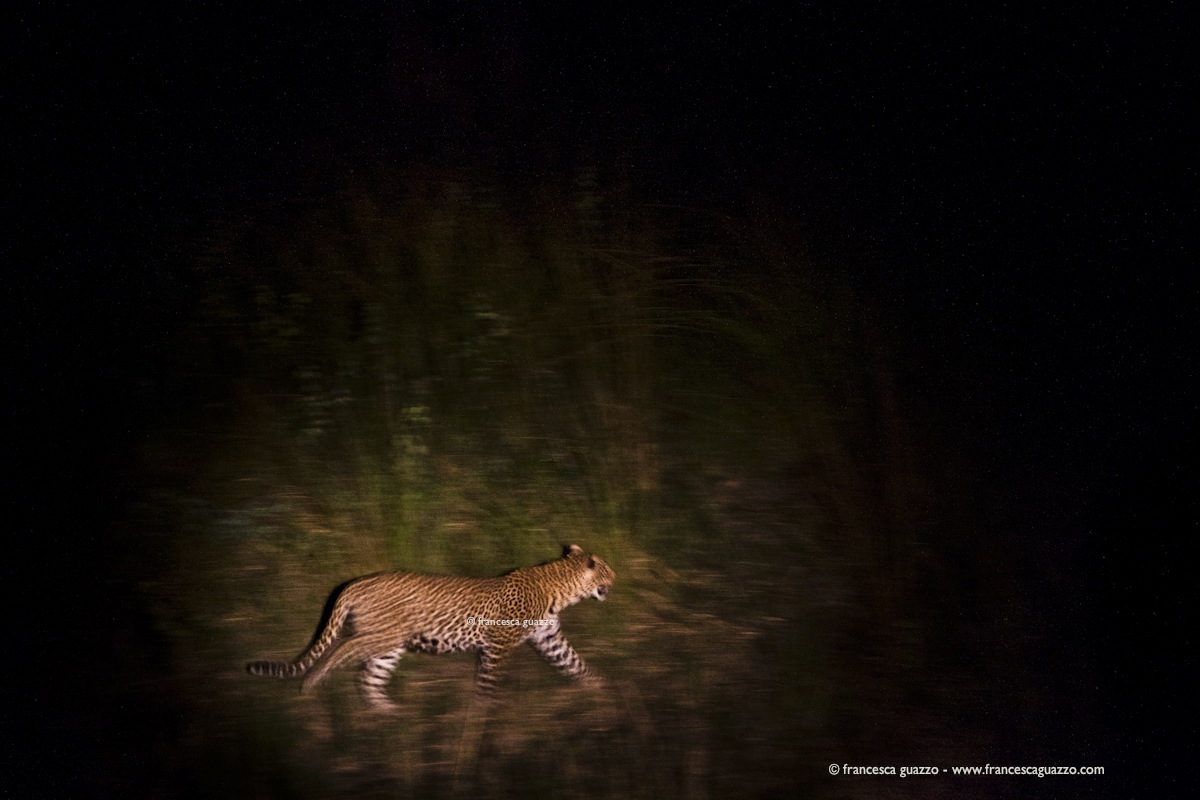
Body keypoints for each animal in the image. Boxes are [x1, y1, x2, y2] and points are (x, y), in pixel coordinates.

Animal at [247, 544, 615, 709]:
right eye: (608, 571)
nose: (616, 579)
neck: (559, 589)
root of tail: (354, 583)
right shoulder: (497, 643)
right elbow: (488, 679)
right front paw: (486, 710)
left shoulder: (549, 638)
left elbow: (575, 663)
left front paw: (602, 691)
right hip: (381, 635)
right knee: (343, 649)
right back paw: (312, 684)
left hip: (389, 645)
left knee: (369, 677)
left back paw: (387, 718)